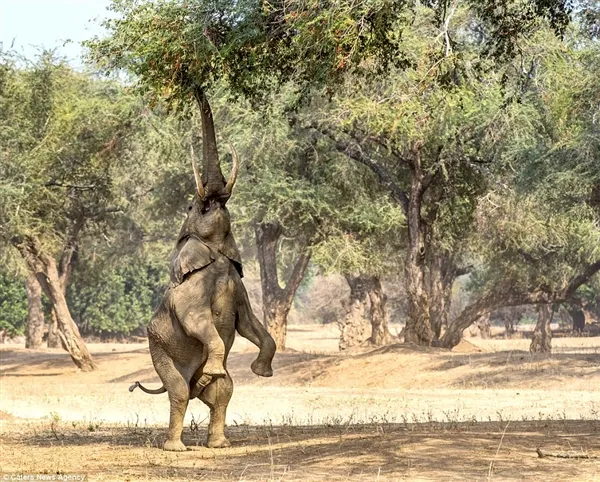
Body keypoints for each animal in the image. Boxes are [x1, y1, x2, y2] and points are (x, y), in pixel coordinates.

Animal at [131, 90, 276, 452]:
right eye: (196, 206)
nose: (196, 87)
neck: (216, 255)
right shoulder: (191, 290)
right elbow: (197, 321)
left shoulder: (237, 285)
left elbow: (250, 323)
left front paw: (261, 372)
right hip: (159, 350)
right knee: (180, 391)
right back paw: (176, 447)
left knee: (223, 392)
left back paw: (219, 442)